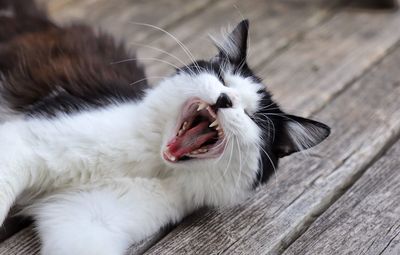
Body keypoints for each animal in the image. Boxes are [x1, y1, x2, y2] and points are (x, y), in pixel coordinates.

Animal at [0, 0, 332, 254]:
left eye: (253, 118)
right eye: (222, 79)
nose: (224, 99)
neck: (150, 164)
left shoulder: (87, 221)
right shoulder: (23, 140)